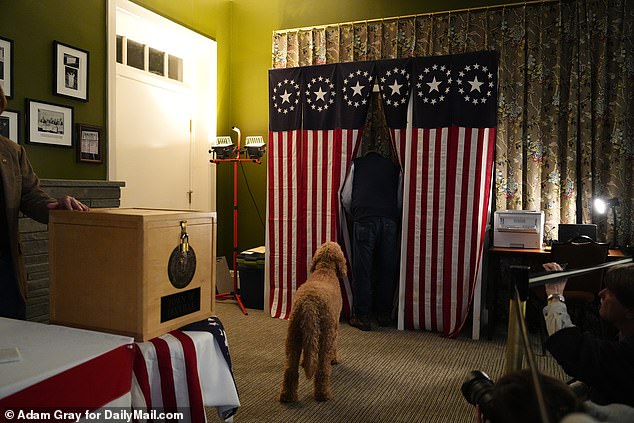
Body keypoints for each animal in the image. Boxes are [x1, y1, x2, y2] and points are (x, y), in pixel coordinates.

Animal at [278, 242, 346, 404]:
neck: (325, 269)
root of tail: (309, 304)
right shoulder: (334, 327)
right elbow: (334, 346)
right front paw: (334, 359)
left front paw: (304, 362)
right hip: (325, 334)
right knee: (322, 369)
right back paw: (323, 395)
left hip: (294, 335)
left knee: (290, 369)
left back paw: (287, 396)